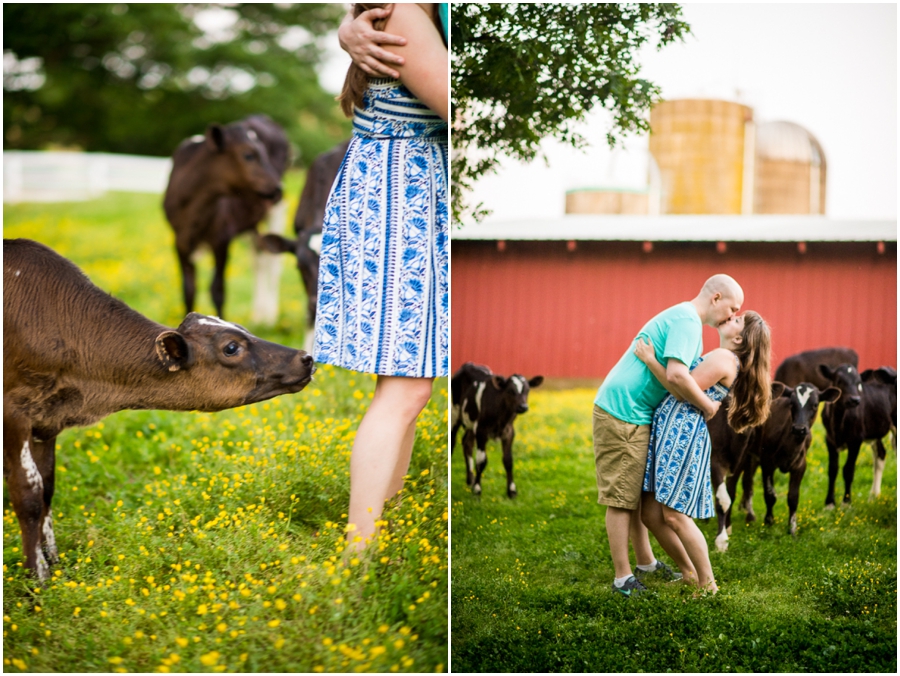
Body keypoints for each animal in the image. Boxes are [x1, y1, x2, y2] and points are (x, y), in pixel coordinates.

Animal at [4, 239, 316, 580]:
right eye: (231, 347)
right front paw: (38, 576)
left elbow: (46, 487)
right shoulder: (14, 414)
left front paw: (55, 562)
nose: (305, 357)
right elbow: (28, 494)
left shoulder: (48, 419)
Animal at [162, 114, 288, 320]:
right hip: (251, 224)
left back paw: (269, 316)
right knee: (259, 260)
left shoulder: (221, 237)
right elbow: (189, 289)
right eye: (248, 155)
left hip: (276, 211)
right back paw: (258, 315)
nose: (278, 188)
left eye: (264, 153)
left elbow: (218, 290)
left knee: (273, 263)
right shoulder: (180, 241)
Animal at [450, 362, 540, 500]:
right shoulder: (481, 431)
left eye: (527, 390)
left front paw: (511, 491)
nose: (523, 407)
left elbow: (508, 460)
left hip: (471, 421)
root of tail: (468, 364)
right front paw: (477, 489)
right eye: (510, 390)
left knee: (467, 443)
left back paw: (470, 479)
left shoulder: (509, 432)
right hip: (455, 413)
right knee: (453, 440)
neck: (502, 417)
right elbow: (481, 461)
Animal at [820, 364, 896, 508]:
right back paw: (874, 496)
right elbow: (832, 469)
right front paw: (829, 503)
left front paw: (846, 502)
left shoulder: (856, 440)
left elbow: (848, 470)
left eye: (859, 383)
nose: (855, 400)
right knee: (881, 454)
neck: (838, 421)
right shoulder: (829, 439)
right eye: (839, 381)